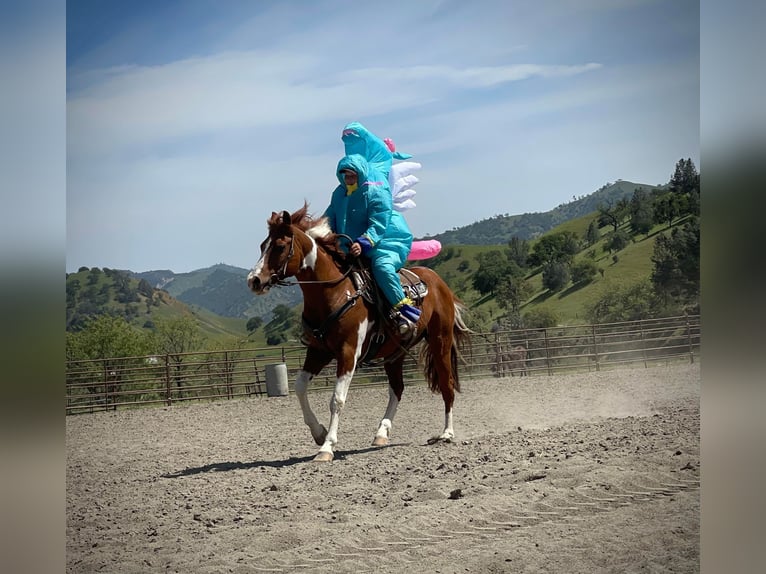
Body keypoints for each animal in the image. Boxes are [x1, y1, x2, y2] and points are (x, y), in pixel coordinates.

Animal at [249, 206, 472, 464]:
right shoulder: (318, 351)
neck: (335, 292)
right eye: (262, 245)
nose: (254, 280)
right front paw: (318, 432)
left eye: (280, 246)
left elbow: (337, 399)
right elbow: (299, 387)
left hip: (440, 341)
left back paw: (447, 433)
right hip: (394, 354)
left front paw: (327, 447)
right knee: (397, 389)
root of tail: (438, 283)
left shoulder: (348, 352)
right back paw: (381, 433)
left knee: (447, 383)